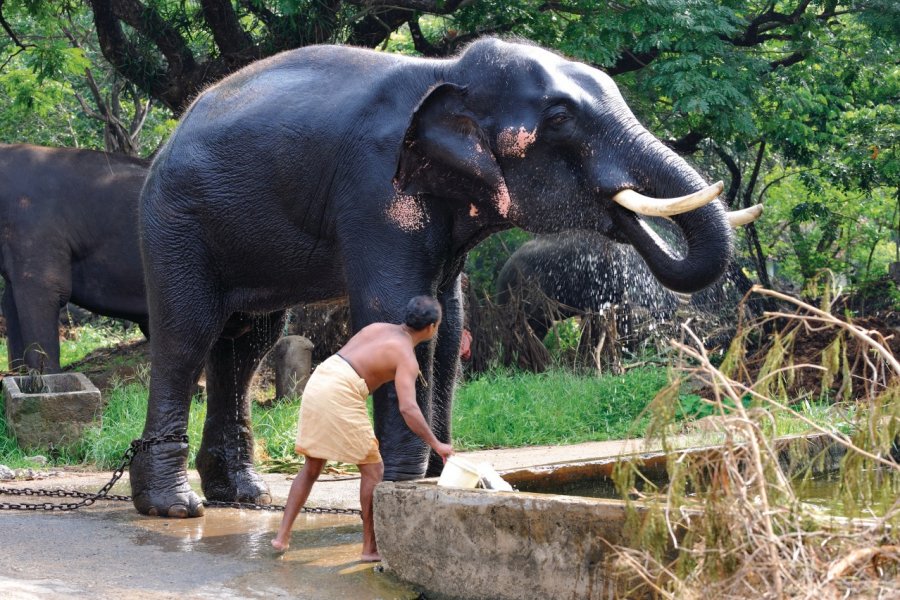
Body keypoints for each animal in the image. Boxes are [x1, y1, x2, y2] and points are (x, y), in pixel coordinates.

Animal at [134, 36, 756, 516]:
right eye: (559, 119)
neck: (447, 73)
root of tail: (175, 131)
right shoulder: (377, 183)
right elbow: (394, 308)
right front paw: (406, 481)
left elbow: (449, 320)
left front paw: (441, 473)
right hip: (175, 221)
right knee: (188, 334)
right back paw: (175, 507)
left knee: (246, 343)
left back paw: (244, 497)